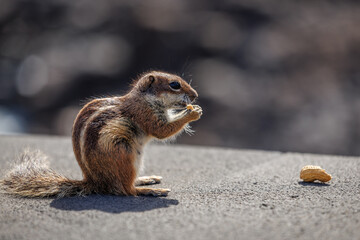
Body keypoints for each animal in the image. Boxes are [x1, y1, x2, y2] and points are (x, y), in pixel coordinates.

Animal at [0, 71, 202, 197]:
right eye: (174, 85)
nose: (195, 95)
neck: (143, 98)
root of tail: (94, 182)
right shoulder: (145, 114)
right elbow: (162, 131)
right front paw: (193, 113)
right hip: (125, 155)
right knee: (126, 190)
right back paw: (150, 190)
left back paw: (145, 179)